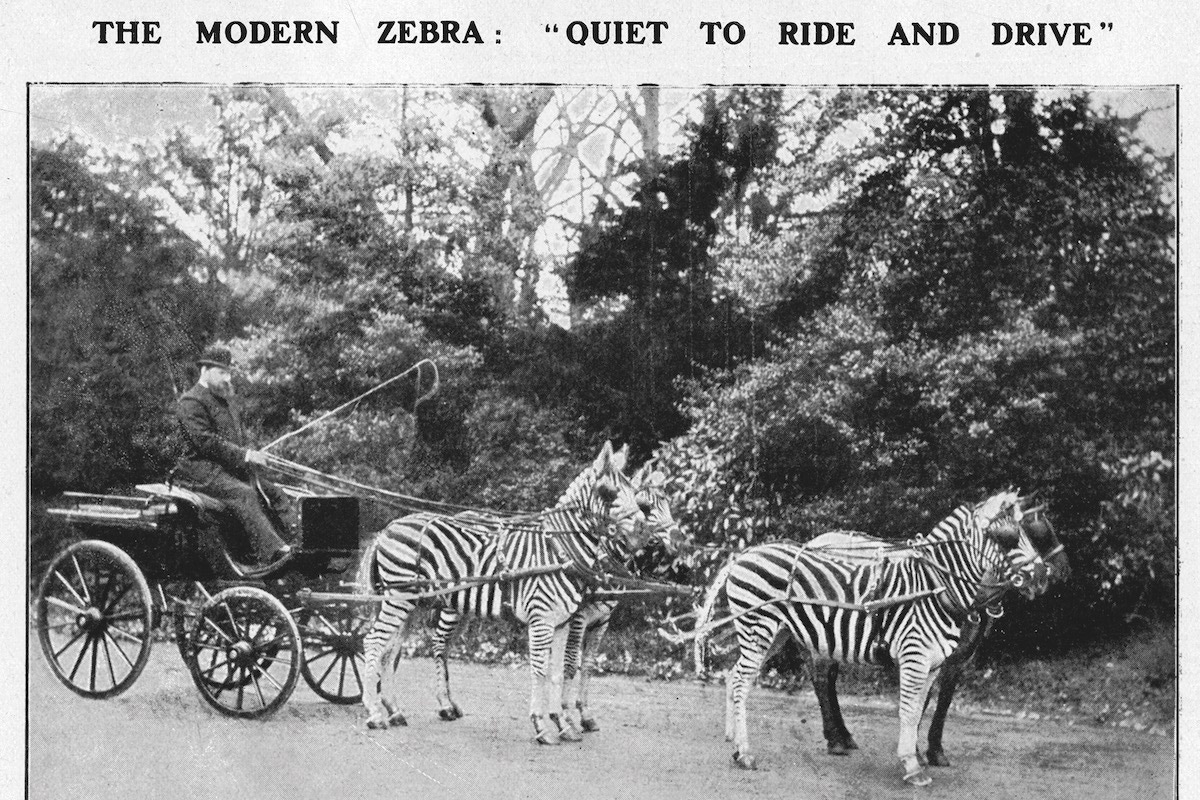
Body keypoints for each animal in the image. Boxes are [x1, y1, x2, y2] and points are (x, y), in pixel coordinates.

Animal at [355, 441, 672, 743]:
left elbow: (559, 671)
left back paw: (395, 710)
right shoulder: (545, 619)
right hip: (400, 599)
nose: (643, 532)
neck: (560, 551)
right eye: (609, 492)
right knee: (373, 643)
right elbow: (542, 669)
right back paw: (375, 713)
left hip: (412, 602)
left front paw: (564, 725)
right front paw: (542, 725)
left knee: (391, 649)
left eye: (635, 495)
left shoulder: (564, 621)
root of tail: (388, 528)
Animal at [705, 491, 1056, 786]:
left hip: (775, 633)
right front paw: (913, 765)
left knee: (735, 675)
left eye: (1032, 533)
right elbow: (910, 711)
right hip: (759, 627)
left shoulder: (933, 663)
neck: (936, 587)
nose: (1043, 577)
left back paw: (735, 744)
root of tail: (743, 555)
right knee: (748, 681)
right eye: (1008, 537)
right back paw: (749, 753)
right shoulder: (915, 657)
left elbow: (919, 709)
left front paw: (916, 758)